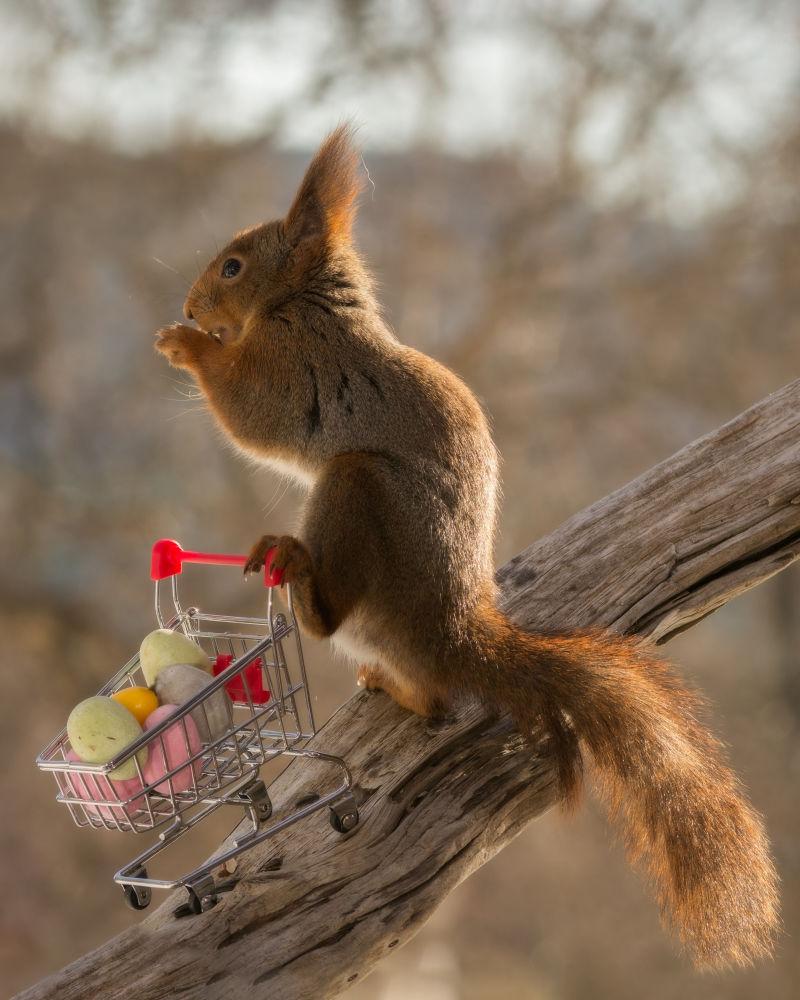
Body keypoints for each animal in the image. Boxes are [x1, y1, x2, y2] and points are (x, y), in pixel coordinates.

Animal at [155, 125, 776, 968]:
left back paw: (303, 579)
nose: (190, 306)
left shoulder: (295, 364)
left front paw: (184, 344)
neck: (304, 303)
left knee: (365, 641)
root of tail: (453, 629)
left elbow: (251, 409)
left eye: (232, 266)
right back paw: (383, 681)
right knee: (425, 692)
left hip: (354, 489)